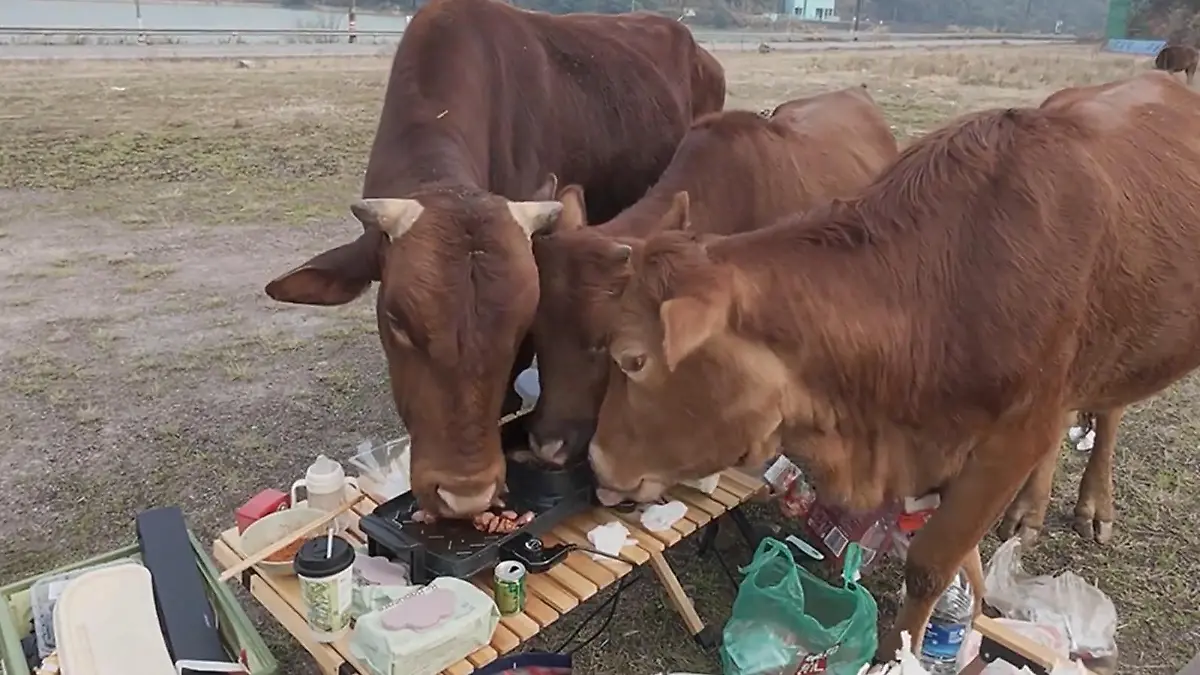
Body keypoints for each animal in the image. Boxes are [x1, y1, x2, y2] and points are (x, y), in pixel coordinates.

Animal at [587, 71, 1200, 660]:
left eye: (633, 359)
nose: (596, 459)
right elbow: (959, 556)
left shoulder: (1016, 434)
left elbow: (931, 563)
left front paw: (900, 650)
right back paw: (1028, 510)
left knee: (1111, 408)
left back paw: (1094, 504)